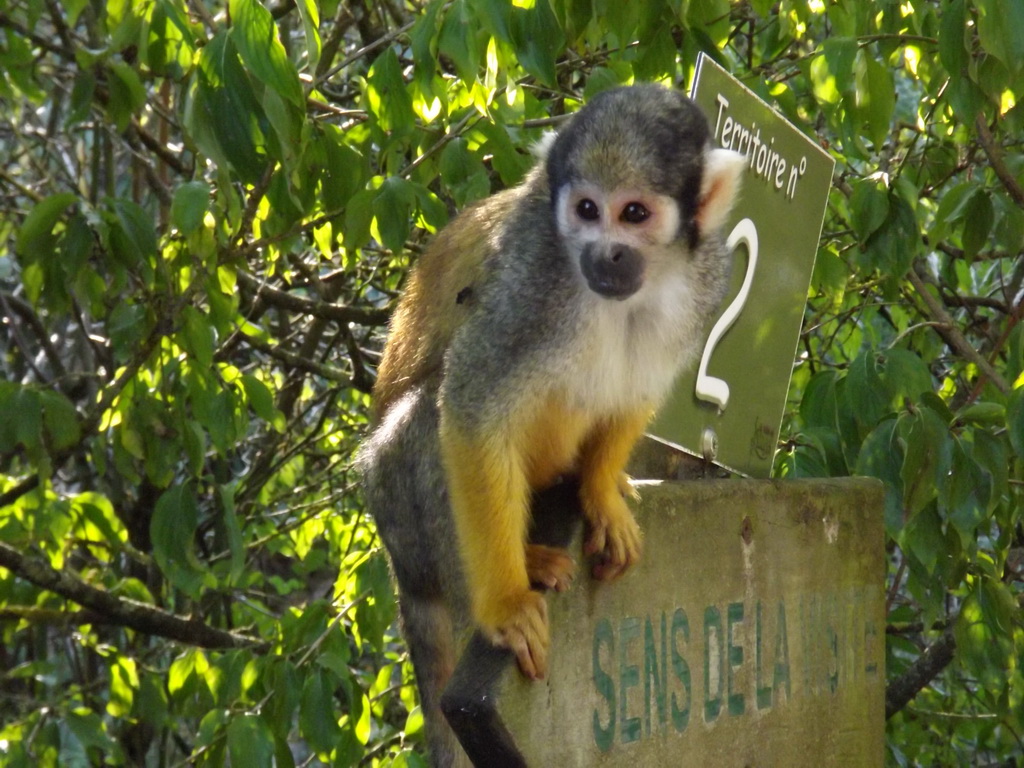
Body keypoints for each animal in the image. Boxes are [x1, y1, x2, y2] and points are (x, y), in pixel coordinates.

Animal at [362, 85, 745, 768]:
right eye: (586, 210)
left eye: (635, 213)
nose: (605, 253)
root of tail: (399, 563)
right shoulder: (534, 285)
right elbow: (472, 406)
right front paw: (505, 606)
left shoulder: (704, 280)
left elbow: (636, 389)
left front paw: (600, 495)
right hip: (398, 510)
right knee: (432, 419)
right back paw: (512, 570)